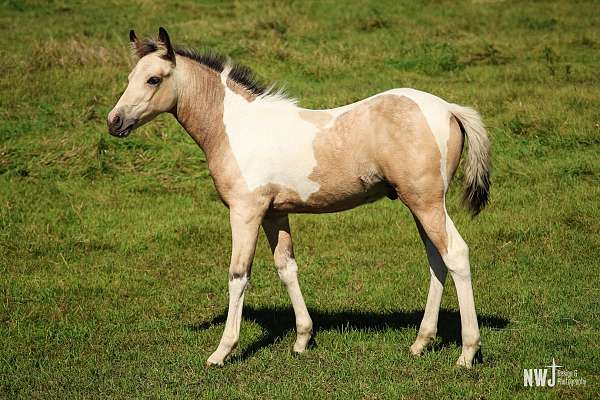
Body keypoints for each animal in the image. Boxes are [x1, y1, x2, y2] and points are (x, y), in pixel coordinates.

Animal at [108, 26, 492, 368]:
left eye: (153, 79)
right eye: (130, 77)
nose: (114, 122)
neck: (237, 128)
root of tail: (448, 108)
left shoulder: (245, 211)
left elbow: (238, 274)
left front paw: (222, 352)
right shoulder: (274, 213)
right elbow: (286, 267)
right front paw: (302, 340)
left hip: (427, 203)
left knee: (456, 255)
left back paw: (467, 353)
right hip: (418, 205)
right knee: (437, 260)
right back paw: (420, 343)